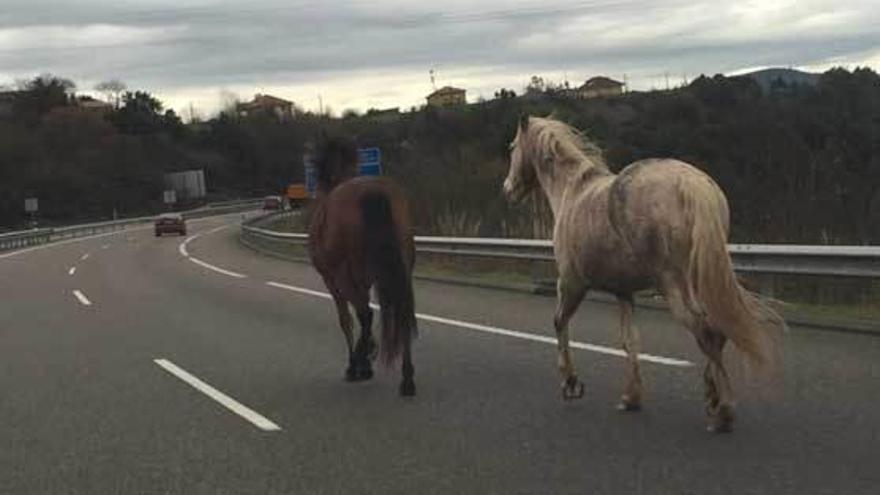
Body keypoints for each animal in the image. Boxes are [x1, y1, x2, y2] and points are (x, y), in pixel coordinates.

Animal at [308, 135, 418, 396]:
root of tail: (371, 190)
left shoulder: (333, 281)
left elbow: (348, 319)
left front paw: (360, 360)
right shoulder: (365, 279)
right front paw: (368, 354)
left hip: (342, 275)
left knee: (364, 315)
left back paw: (357, 364)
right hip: (401, 267)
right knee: (401, 312)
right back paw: (407, 378)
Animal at [502, 116, 784, 434]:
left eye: (512, 147)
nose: (508, 188)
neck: (572, 192)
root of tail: (692, 185)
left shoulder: (572, 284)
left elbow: (559, 323)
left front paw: (571, 383)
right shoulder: (623, 292)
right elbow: (630, 341)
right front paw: (631, 397)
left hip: (672, 285)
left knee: (705, 331)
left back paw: (723, 410)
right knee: (717, 328)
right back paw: (712, 398)